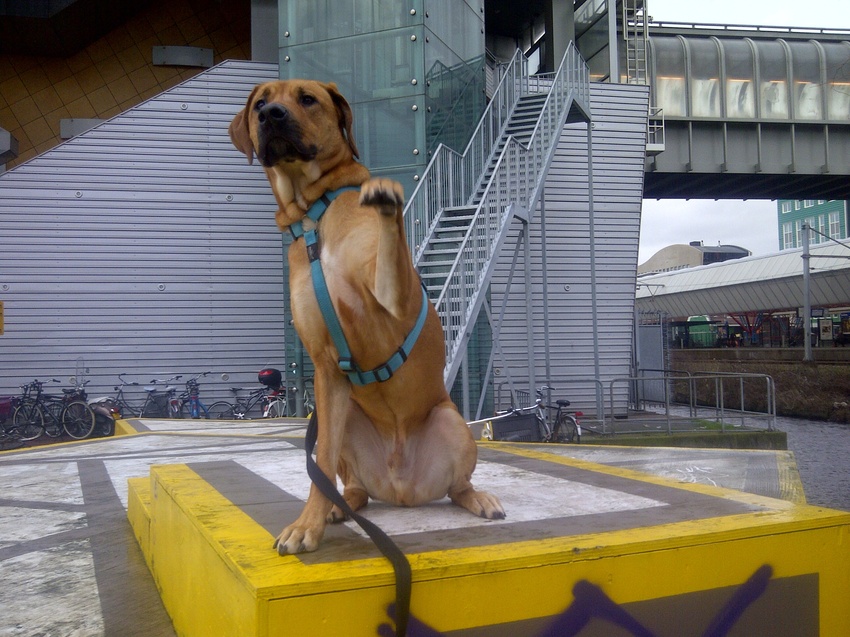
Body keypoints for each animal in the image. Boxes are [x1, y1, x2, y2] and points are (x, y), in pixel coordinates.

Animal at [229, 79, 505, 554]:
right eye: (260, 103)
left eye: (307, 98)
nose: (271, 116)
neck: (314, 214)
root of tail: (401, 488)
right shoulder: (324, 366)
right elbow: (319, 461)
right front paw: (307, 524)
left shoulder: (393, 296)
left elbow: (391, 238)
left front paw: (386, 199)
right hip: (346, 419)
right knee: (349, 481)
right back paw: (340, 506)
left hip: (452, 423)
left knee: (458, 487)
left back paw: (479, 499)